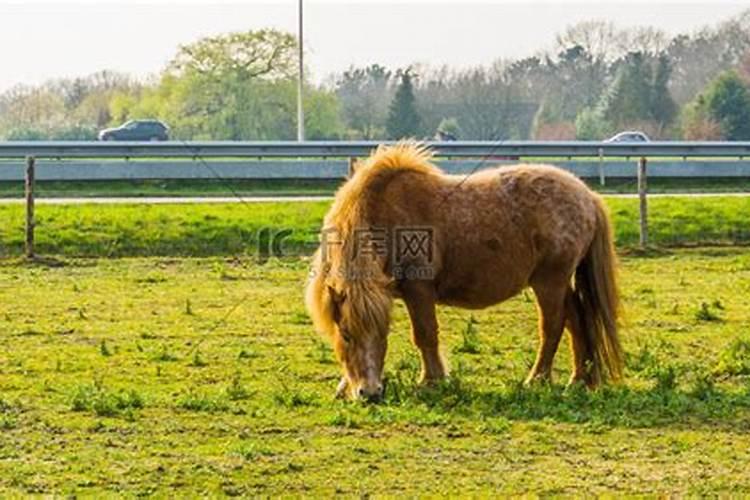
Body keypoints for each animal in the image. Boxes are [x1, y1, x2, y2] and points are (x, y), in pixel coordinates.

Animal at [304, 143, 624, 400]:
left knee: (553, 327)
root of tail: (589, 197)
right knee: (577, 320)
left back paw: (537, 379)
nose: (369, 393)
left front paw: (431, 381)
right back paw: (578, 380)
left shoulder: (418, 290)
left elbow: (425, 334)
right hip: (557, 283)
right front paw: (344, 386)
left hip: (550, 282)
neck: (387, 215)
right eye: (346, 335)